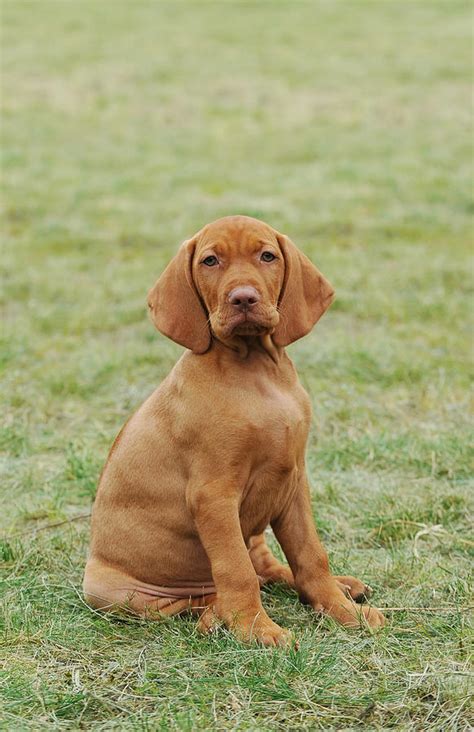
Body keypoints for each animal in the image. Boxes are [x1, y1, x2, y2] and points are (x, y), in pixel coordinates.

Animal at [82, 214, 386, 644]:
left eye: (267, 256)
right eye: (210, 261)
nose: (243, 298)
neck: (257, 372)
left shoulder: (294, 481)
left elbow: (311, 555)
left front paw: (342, 610)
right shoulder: (213, 495)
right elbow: (235, 570)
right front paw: (256, 629)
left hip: (256, 531)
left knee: (266, 569)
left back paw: (341, 587)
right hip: (112, 591)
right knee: (199, 599)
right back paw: (215, 615)